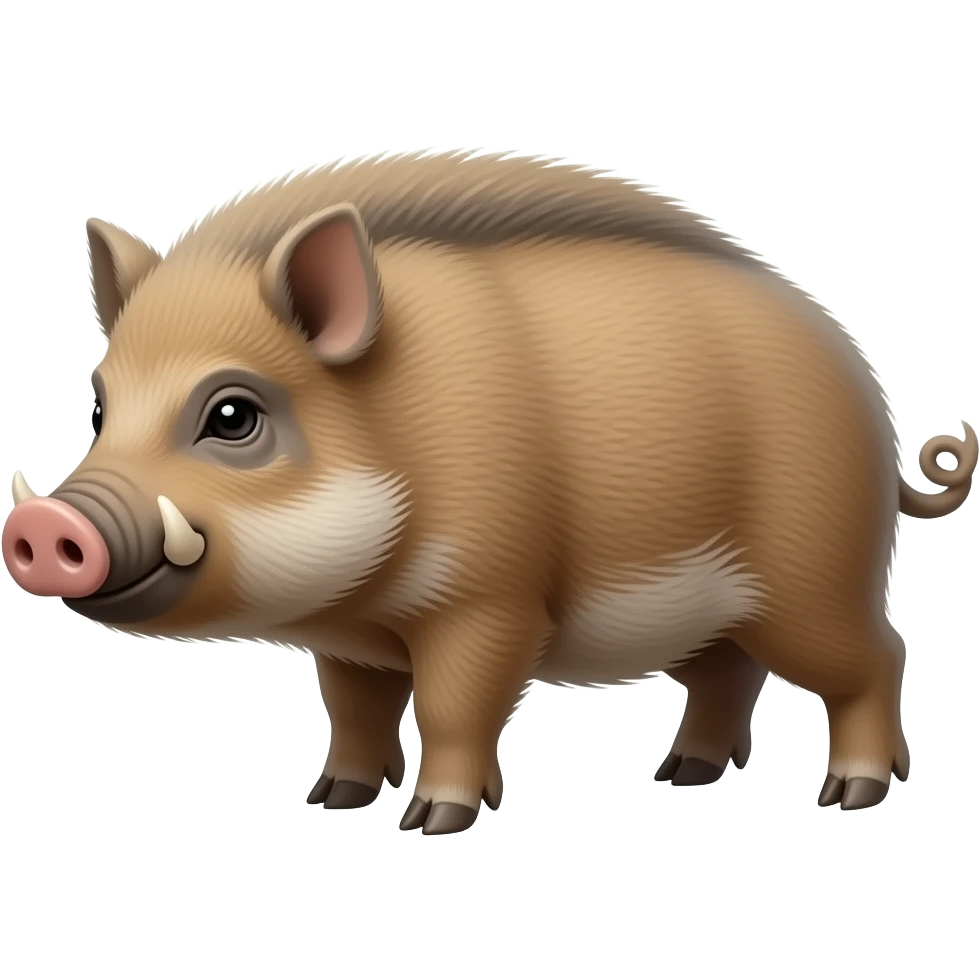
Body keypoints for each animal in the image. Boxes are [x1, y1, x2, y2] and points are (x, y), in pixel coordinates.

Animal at [2, 148, 975, 834]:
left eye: (233, 415)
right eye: (100, 404)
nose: (44, 525)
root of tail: (876, 410)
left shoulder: (492, 600)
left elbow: (451, 704)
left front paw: (433, 822)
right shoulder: (350, 642)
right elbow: (354, 710)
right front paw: (334, 799)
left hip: (816, 576)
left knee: (879, 656)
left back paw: (849, 795)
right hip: (713, 607)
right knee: (727, 671)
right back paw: (680, 778)